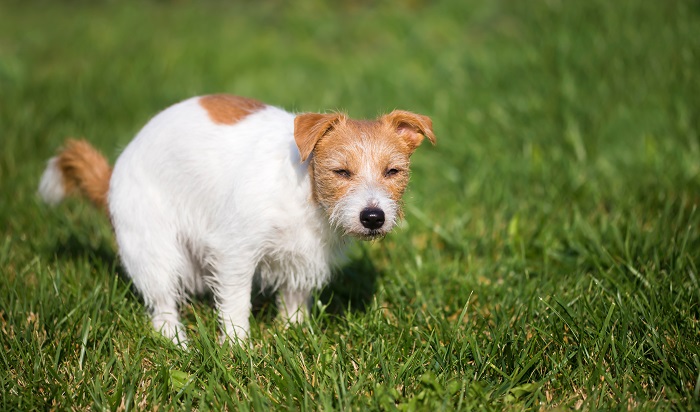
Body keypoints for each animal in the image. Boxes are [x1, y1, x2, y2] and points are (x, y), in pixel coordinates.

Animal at [38, 95, 434, 346]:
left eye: (393, 171)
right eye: (341, 171)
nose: (373, 217)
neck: (306, 191)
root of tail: (110, 178)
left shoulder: (304, 259)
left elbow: (294, 301)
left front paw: (294, 335)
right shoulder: (236, 252)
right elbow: (235, 302)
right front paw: (236, 346)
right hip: (153, 248)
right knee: (162, 303)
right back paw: (175, 340)